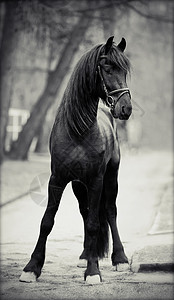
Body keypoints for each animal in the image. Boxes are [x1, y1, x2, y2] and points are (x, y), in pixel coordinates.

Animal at [19, 35, 132, 284]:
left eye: (125, 71)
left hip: (111, 176)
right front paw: (31, 268)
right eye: (108, 68)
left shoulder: (97, 180)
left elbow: (94, 224)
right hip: (79, 186)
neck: (78, 131)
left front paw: (93, 272)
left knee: (109, 211)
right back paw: (86, 255)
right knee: (85, 211)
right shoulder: (58, 179)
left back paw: (119, 258)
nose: (126, 108)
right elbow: (47, 221)